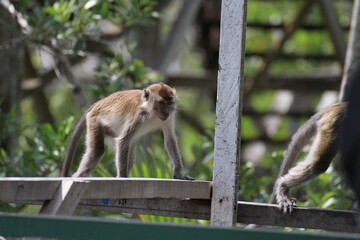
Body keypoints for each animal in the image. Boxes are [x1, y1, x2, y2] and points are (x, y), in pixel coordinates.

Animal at [61, 82, 194, 180]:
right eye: (161, 102)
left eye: (170, 103)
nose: (166, 112)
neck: (151, 112)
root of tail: (98, 103)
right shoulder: (138, 116)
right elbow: (123, 140)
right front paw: (122, 176)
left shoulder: (169, 118)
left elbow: (170, 141)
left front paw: (179, 174)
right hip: (94, 121)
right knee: (97, 151)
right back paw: (77, 176)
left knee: (128, 155)